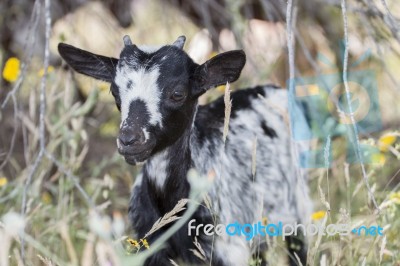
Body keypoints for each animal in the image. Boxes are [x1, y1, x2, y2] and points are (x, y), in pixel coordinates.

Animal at [57, 35, 312, 266]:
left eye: (177, 93)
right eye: (114, 92)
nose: (129, 140)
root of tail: (273, 90)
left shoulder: (227, 250)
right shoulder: (151, 249)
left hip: (297, 208)